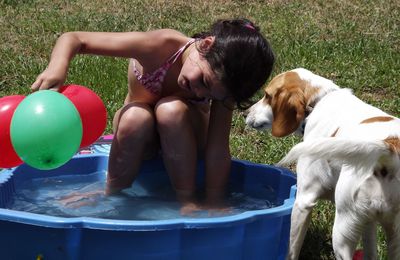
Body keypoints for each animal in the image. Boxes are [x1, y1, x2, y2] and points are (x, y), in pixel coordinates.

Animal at [244, 68, 400, 258]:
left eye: (267, 95)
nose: (245, 112)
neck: (319, 101)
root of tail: (390, 147)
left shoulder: (303, 200)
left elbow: (292, 249)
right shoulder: (368, 222)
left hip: (342, 231)